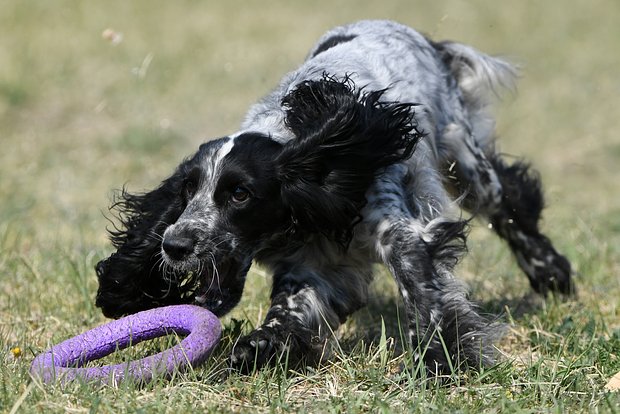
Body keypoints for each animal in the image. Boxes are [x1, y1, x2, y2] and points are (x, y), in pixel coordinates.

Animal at [94, 19, 572, 374]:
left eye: (240, 194)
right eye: (188, 189)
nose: (173, 245)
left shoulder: (402, 235)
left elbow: (423, 292)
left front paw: (440, 362)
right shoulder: (311, 267)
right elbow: (289, 309)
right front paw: (259, 346)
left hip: (466, 161)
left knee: (510, 200)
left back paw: (551, 273)